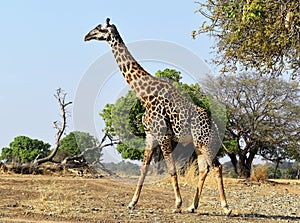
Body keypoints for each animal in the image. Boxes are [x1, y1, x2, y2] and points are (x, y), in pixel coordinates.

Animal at [84, 18, 232, 215]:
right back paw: (192, 207)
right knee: (203, 169)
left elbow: (171, 168)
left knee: (216, 166)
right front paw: (132, 202)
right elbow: (144, 169)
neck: (144, 97)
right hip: (199, 144)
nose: (86, 36)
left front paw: (177, 203)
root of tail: (214, 123)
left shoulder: (163, 135)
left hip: (204, 141)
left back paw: (225, 207)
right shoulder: (150, 135)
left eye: (100, 28)